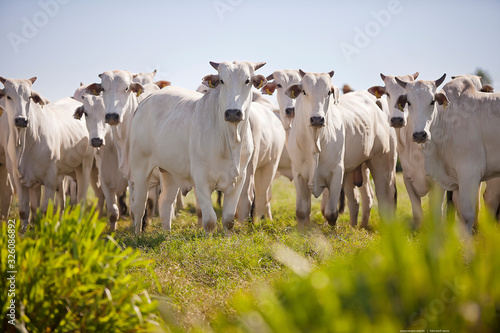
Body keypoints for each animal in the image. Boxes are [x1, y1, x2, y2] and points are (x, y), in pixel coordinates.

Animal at [127, 61, 266, 232]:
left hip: (169, 172)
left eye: (247, 80)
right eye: (221, 81)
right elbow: (210, 220)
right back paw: (137, 234)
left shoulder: (239, 179)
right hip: (140, 168)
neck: (230, 140)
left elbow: (228, 220)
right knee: (139, 206)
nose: (233, 113)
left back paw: (167, 233)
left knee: (165, 202)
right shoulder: (201, 180)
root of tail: (146, 101)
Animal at [288, 68, 396, 227]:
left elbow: (331, 213)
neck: (315, 140)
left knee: (384, 200)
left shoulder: (337, 172)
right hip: (356, 169)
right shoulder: (298, 173)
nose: (317, 119)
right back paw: (358, 226)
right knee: (360, 199)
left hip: (382, 163)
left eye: (328, 92)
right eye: (304, 91)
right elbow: (302, 212)